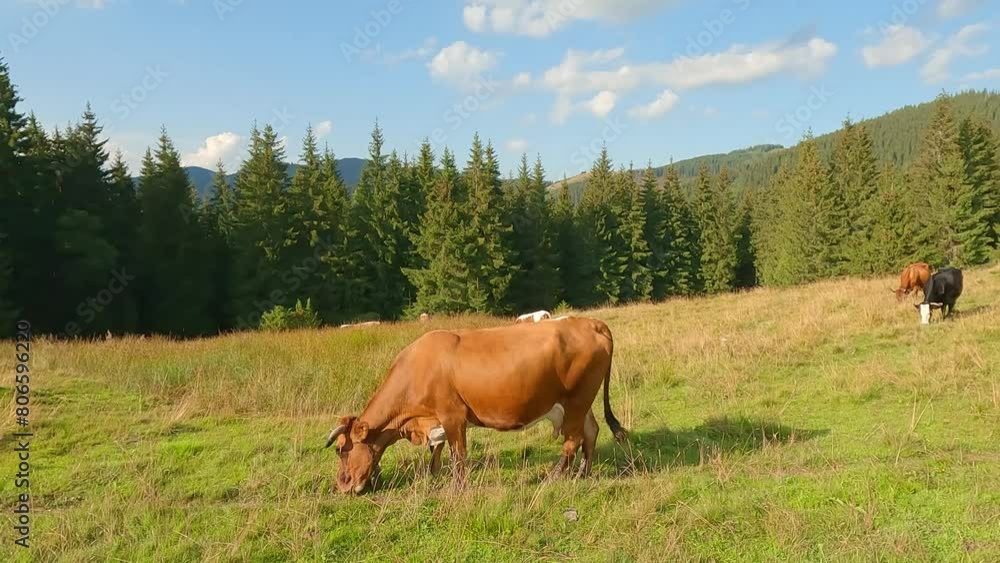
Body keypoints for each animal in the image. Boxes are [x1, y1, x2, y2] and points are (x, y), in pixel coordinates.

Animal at [324, 316, 626, 494]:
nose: (342, 484)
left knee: (572, 441)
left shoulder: (453, 415)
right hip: (580, 402)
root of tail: (589, 321)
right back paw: (583, 474)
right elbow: (437, 452)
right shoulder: (436, 421)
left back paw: (554, 478)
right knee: (590, 432)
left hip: (576, 399)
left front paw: (457, 489)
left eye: (339, 450)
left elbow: (458, 455)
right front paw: (434, 476)